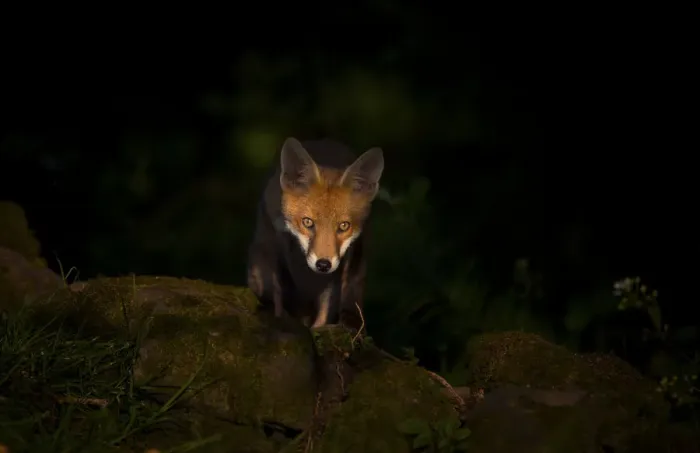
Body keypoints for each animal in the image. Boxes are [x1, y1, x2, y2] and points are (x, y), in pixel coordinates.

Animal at [246, 136, 384, 332]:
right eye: (307, 222)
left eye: (344, 226)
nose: (323, 265)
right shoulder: (267, 242)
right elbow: (271, 291)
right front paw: (272, 317)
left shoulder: (338, 269)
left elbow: (325, 311)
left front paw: (318, 331)